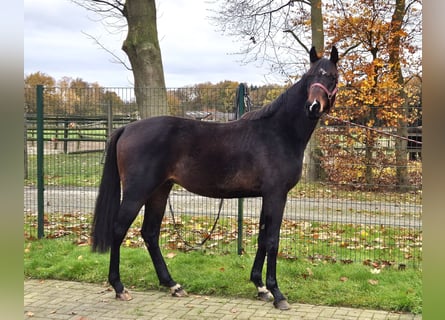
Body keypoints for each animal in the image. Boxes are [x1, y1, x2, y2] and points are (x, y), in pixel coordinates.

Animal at [93, 46, 336, 308]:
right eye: (310, 77)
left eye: (332, 77)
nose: (313, 106)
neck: (278, 132)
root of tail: (127, 128)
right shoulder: (276, 195)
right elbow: (272, 240)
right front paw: (277, 293)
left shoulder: (268, 196)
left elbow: (262, 238)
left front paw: (260, 287)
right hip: (137, 192)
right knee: (119, 230)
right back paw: (119, 287)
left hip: (160, 190)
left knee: (150, 233)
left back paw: (173, 285)